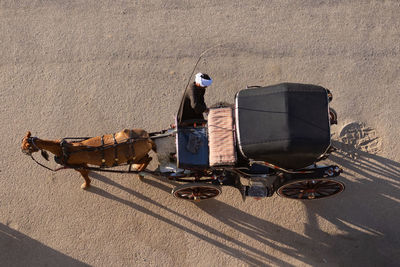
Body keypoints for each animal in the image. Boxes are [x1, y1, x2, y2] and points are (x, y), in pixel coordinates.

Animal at [21, 130, 156, 191]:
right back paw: (138, 168)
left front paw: (86, 185)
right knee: (147, 158)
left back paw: (140, 173)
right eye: (22, 141)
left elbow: (85, 176)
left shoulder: (78, 166)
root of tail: (148, 138)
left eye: (26, 146)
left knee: (148, 158)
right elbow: (87, 171)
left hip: (137, 155)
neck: (63, 149)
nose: (21, 150)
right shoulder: (83, 164)